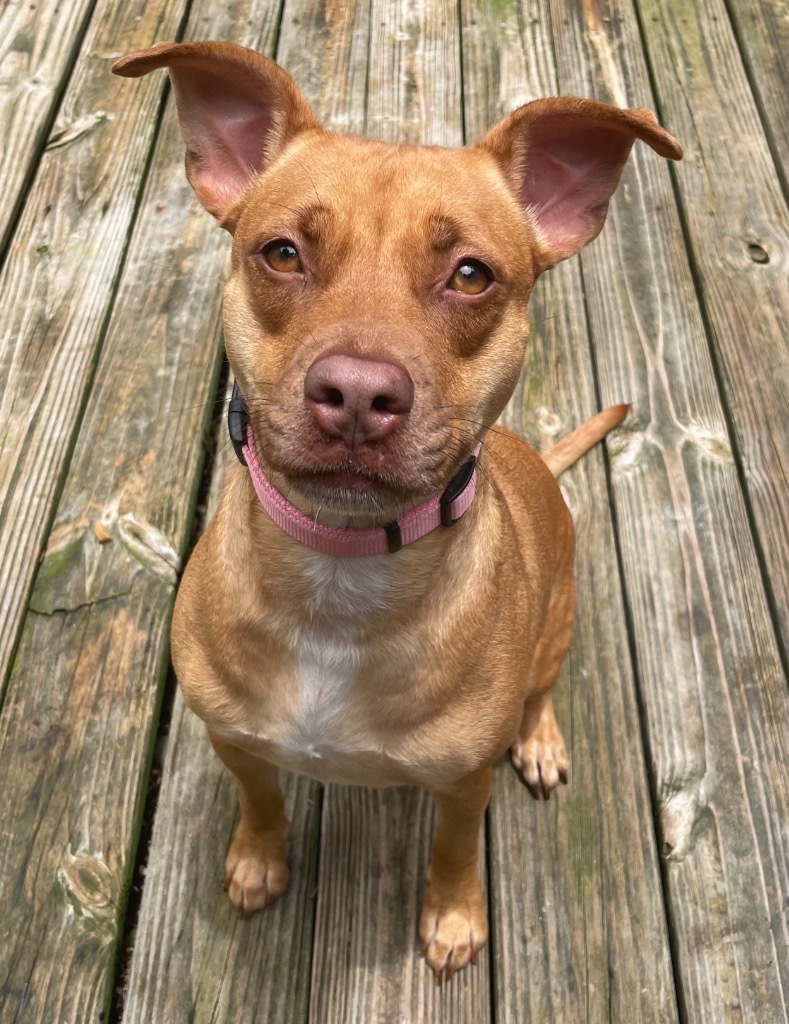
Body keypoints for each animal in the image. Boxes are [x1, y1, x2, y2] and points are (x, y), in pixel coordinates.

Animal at [112, 39, 683, 983]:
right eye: (280, 254)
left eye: (470, 275)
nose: (356, 393)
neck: (340, 574)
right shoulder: (234, 739)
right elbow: (259, 798)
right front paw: (257, 859)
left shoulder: (461, 783)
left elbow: (452, 852)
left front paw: (452, 919)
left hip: (557, 622)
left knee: (539, 694)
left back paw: (540, 740)